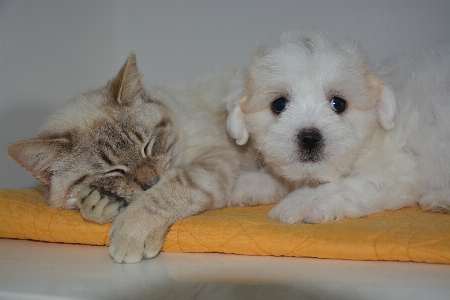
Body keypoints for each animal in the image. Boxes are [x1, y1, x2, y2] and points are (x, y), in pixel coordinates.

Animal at [7, 53, 256, 262]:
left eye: (148, 146)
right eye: (113, 171)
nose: (152, 182)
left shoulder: (216, 158)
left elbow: (168, 191)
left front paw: (130, 235)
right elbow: (89, 206)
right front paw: (99, 204)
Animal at [229, 31, 450, 223]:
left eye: (338, 104)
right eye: (279, 105)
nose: (309, 138)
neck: (372, 134)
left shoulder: (396, 172)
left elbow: (347, 187)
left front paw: (303, 201)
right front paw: (253, 183)